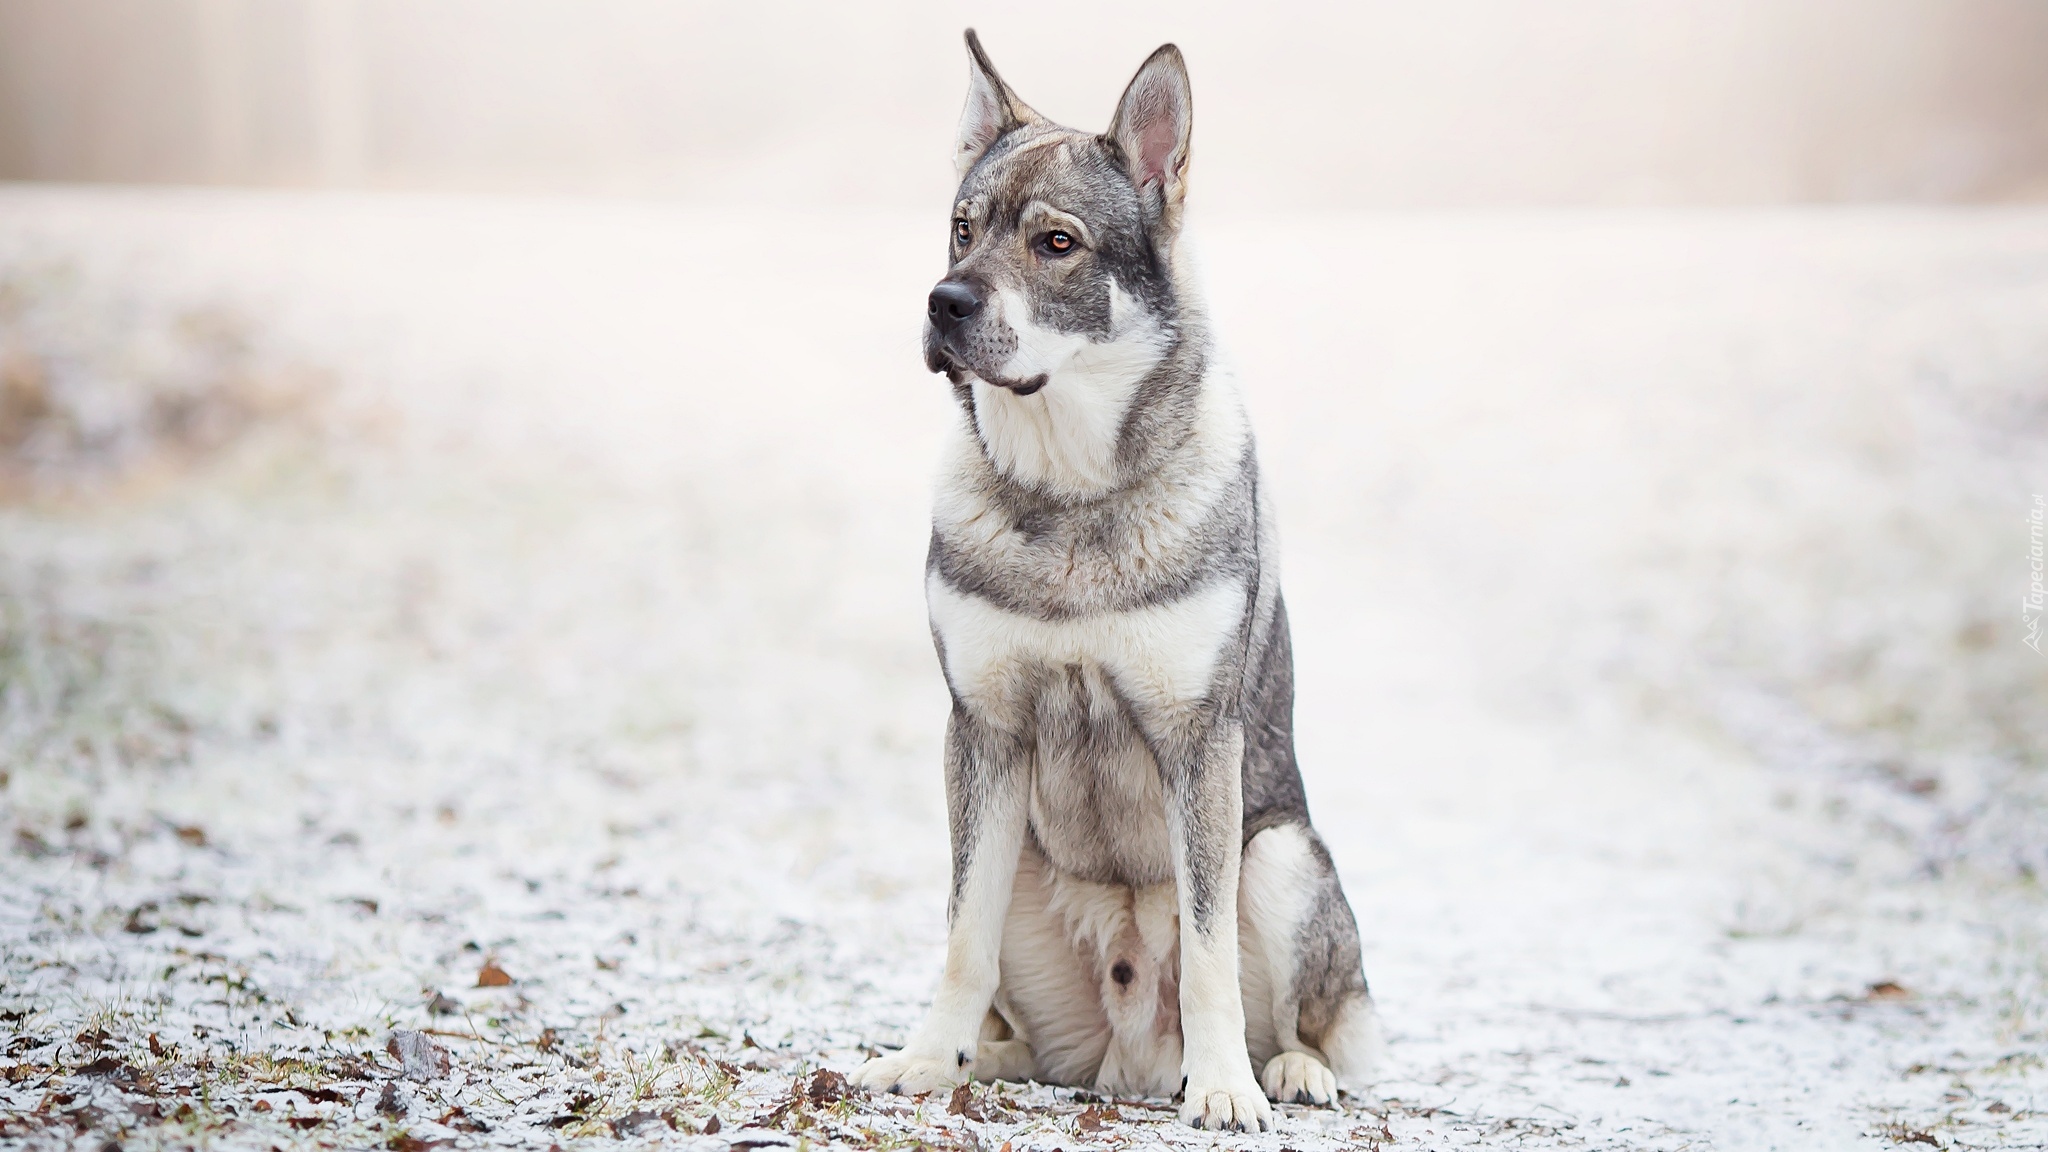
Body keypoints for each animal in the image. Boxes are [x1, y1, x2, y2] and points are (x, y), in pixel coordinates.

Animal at [847, 29, 1392, 1131]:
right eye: (961, 230)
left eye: (1056, 244)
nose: (942, 302)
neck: (1068, 495)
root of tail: (1126, 1065)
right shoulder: (983, 733)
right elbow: (959, 944)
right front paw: (924, 1060)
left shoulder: (1198, 745)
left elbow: (1209, 949)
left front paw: (1223, 1088)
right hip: (1017, 858)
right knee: (1019, 1024)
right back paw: (983, 1060)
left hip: (1280, 855)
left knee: (1317, 1031)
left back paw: (1285, 1073)